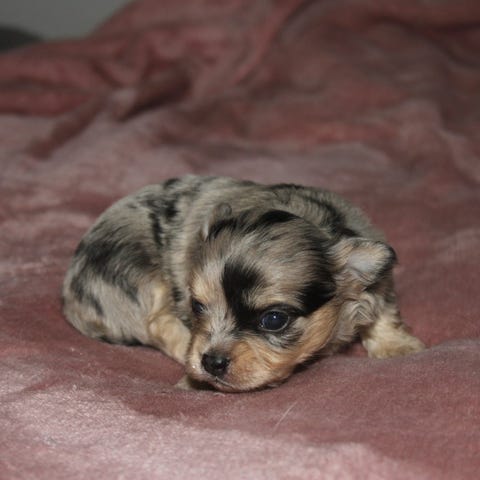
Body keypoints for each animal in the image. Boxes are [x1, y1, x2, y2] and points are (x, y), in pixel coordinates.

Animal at [62, 175, 425, 392]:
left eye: (273, 320)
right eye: (197, 306)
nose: (211, 363)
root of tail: (69, 292)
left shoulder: (378, 279)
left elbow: (384, 310)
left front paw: (398, 348)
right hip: (135, 277)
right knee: (157, 324)